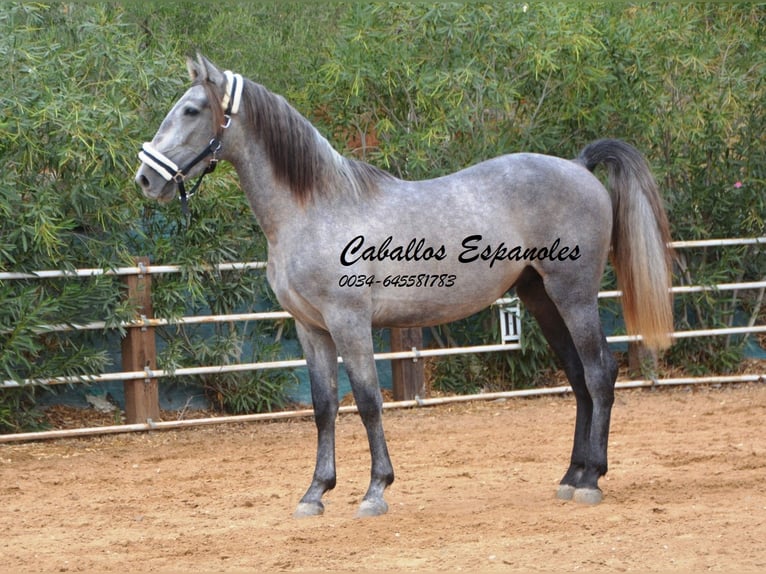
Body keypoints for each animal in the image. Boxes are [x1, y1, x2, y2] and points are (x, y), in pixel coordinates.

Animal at [135, 55, 676, 520]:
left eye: (191, 109)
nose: (145, 178)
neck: (317, 207)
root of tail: (580, 166)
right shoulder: (311, 328)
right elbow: (324, 407)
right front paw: (315, 493)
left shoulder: (349, 322)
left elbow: (368, 400)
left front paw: (376, 490)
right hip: (541, 298)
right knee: (579, 378)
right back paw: (572, 475)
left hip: (574, 295)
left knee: (600, 372)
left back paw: (592, 481)